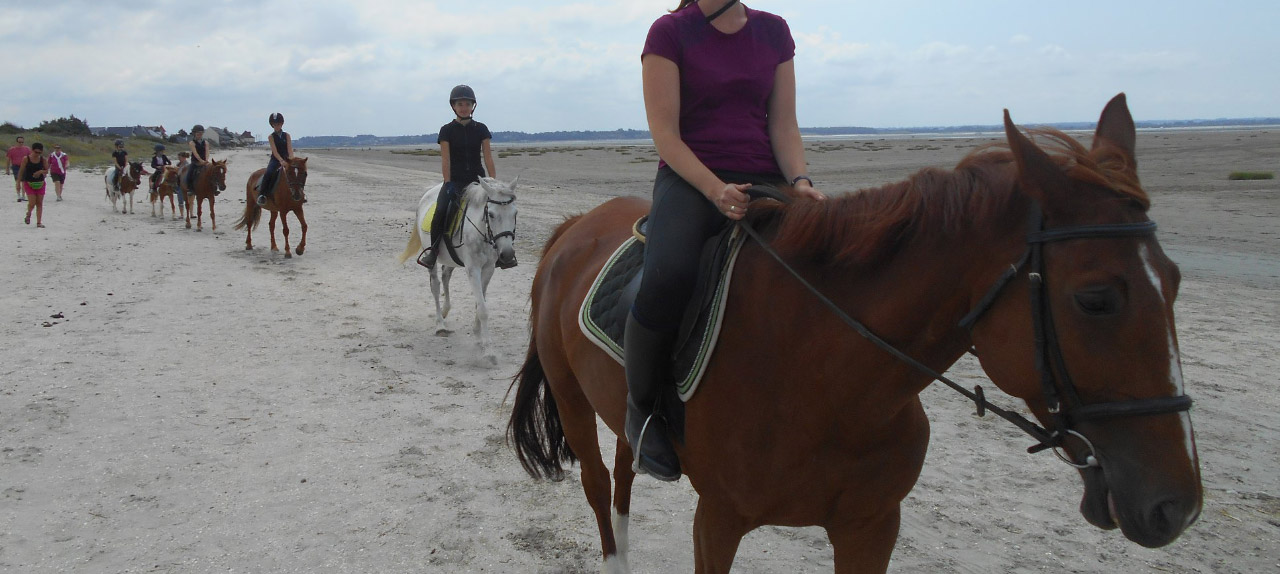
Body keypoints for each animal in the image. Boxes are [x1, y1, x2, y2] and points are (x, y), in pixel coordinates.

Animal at [399, 176, 519, 363]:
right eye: (491, 214)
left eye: (515, 213)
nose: (507, 254)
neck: (481, 232)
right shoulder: (473, 269)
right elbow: (483, 309)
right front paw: (489, 351)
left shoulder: (488, 269)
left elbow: (480, 303)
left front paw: (478, 337)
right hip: (432, 258)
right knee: (435, 286)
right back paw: (440, 324)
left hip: (451, 261)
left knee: (446, 276)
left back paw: (445, 310)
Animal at [506, 95, 1198, 574]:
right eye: (1096, 299)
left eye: (1174, 281)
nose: (1177, 505)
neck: (827, 380)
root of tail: (575, 227)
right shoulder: (718, 520)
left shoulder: (871, 526)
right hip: (572, 399)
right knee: (600, 485)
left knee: (625, 474)